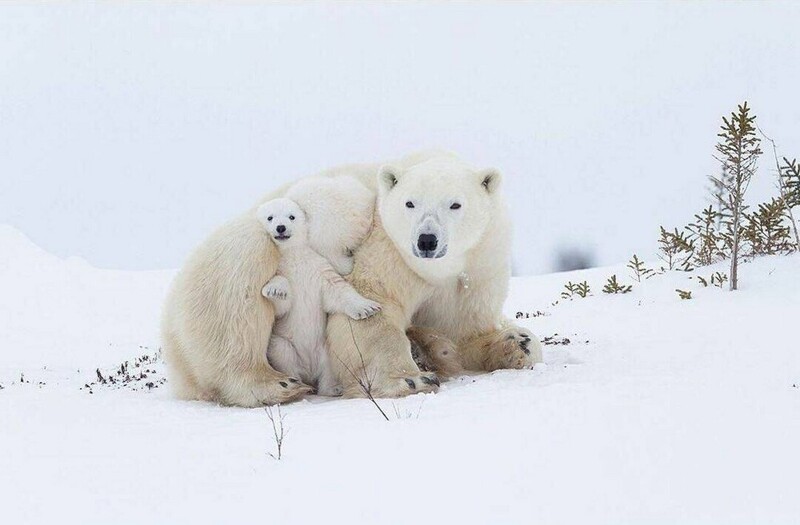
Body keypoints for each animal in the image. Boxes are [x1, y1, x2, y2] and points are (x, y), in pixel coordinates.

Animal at [165, 150, 544, 406]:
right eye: (409, 203)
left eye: (455, 204)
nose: (426, 240)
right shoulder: (386, 246)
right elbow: (370, 310)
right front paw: (411, 378)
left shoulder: (479, 263)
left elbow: (463, 327)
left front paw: (516, 343)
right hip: (230, 268)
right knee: (237, 306)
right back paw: (278, 384)